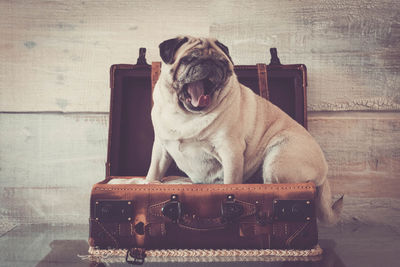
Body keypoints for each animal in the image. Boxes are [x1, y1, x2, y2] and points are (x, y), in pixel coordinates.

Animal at [145, 36, 342, 226]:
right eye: (189, 59)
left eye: (222, 63)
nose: (211, 64)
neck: (186, 115)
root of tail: (324, 173)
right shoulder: (160, 148)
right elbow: (154, 169)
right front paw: (148, 183)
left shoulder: (230, 151)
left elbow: (231, 182)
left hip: (277, 159)